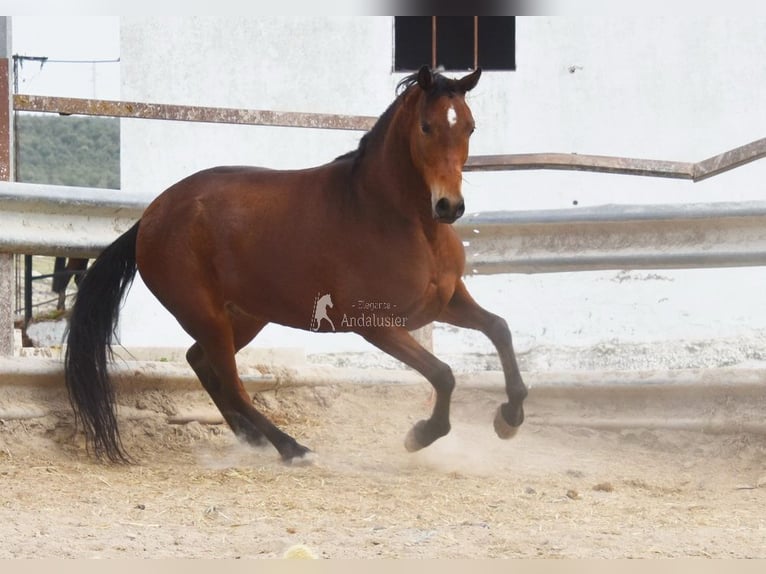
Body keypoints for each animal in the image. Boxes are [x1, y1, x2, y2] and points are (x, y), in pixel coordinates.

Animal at [64, 66, 528, 463]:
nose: (449, 206)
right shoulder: (376, 326)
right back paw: (292, 448)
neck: (398, 220)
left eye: (469, 126)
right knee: (231, 383)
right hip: (206, 315)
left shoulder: (445, 302)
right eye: (426, 126)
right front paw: (420, 435)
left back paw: (251, 438)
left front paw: (510, 418)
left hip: (245, 316)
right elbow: (444, 374)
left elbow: (499, 328)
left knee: (201, 363)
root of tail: (152, 216)